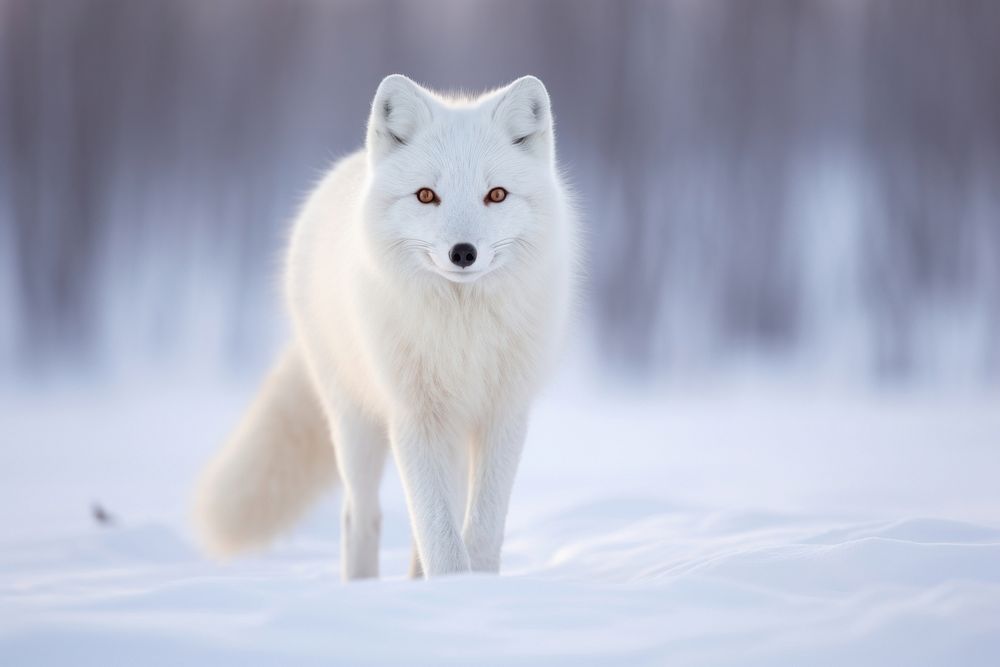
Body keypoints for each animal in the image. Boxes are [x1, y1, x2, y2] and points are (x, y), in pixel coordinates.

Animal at [194, 75, 580, 580]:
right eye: (426, 195)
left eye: (496, 194)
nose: (463, 253)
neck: (462, 333)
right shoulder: (412, 416)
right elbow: (440, 537)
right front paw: (456, 588)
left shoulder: (505, 414)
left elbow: (480, 531)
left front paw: (475, 587)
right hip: (354, 423)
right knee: (360, 516)